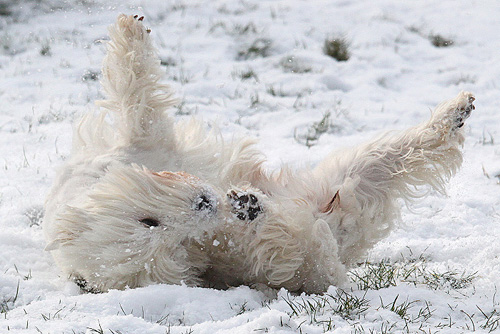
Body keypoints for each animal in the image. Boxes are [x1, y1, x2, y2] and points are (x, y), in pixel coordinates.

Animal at [43, 14, 472, 294]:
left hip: (352, 172)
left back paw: (457, 110)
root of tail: (338, 231)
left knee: (408, 147)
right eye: (169, 243)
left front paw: (130, 28)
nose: (205, 203)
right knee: (307, 250)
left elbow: (135, 92)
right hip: (334, 217)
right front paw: (246, 213)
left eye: (147, 221)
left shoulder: (144, 143)